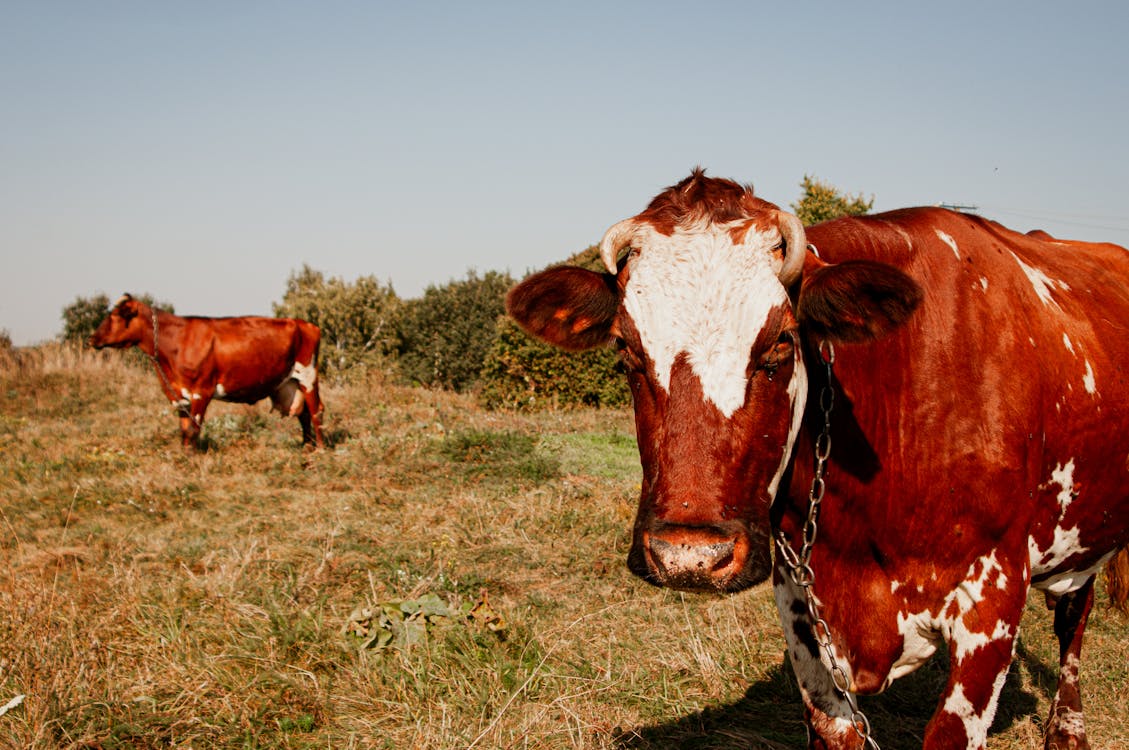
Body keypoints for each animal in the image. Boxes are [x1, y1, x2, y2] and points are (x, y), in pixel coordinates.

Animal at [90, 293, 325, 447]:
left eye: (116, 316)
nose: (92, 338)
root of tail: (306, 324)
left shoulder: (201, 392)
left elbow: (193, 430)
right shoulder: (180, 396)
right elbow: (184, 431)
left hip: (308, 377)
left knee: (316, 411)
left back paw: (319, 450)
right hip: (290, 383)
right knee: (304, 414)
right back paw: (306, 448)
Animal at [512, 171, 1129, 750]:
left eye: (782, 342)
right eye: (625, 348)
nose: (689, 556)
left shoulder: (994, 599)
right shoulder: (802, 606)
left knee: (1075, 617)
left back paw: (1067, 729)